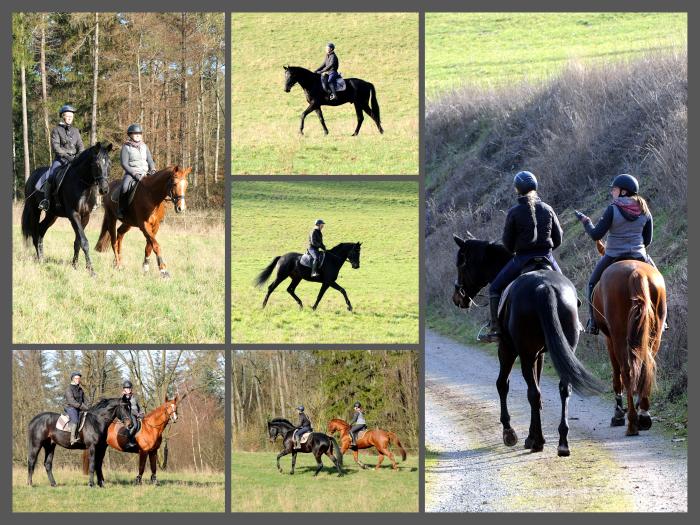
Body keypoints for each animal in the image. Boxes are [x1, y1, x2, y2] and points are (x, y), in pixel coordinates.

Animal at [21, 141, 112, 276]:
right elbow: (84, 242)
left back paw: (42, 258)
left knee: (41, 230)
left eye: (109, 164)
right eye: (97, 164)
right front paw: (91, 270)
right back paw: (39, 259)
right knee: (35, 232)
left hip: (52, 215)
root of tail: (32, 176)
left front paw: (75, 265)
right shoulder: (73, 215)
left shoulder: (85, 216)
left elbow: (78, 242)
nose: (104, 189)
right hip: (34, 210)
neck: (82, 185)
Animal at [452, 235, 604, 456]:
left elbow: (503, 384)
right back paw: (562, 442)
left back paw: (538, 441)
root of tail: (545, 287)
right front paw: (530, 435)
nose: (458, 298)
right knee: (562, 389)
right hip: (557, 349)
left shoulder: (507, 349)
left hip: (522, 353)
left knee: (533, 392)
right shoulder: (539, 355)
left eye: (461, 264)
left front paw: (510, 433)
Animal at [592, 241, 668, 434]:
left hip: (619, 335)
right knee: (646, 366)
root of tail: (636, 272)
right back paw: (644, 416)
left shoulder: (609, 339)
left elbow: (616, 374)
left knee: (626, 371)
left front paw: (618, 413)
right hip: (654, 334)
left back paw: (632, 421)